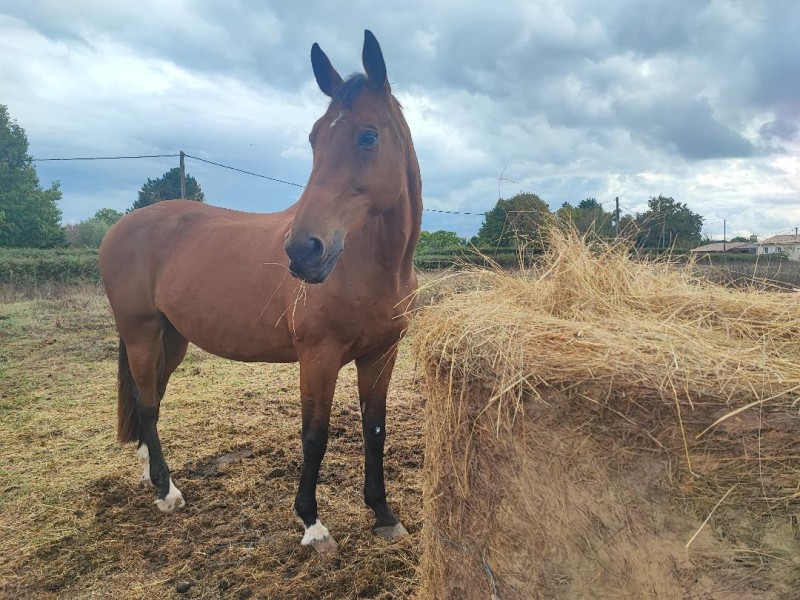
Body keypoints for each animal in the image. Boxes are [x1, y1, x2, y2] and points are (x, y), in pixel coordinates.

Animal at [99, 30, 422, 552]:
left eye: (369, 135)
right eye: (314, 138)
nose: (303, 250)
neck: (371, 265)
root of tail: (119, 228)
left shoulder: (381, 354)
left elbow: (375, 429)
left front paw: (384, 514)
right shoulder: (318, 356)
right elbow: (314, 436)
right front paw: (312, 523)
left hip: (172, 338)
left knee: (153, 402)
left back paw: (153, 477)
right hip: (141, 334)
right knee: (147, 404)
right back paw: (167, 492)